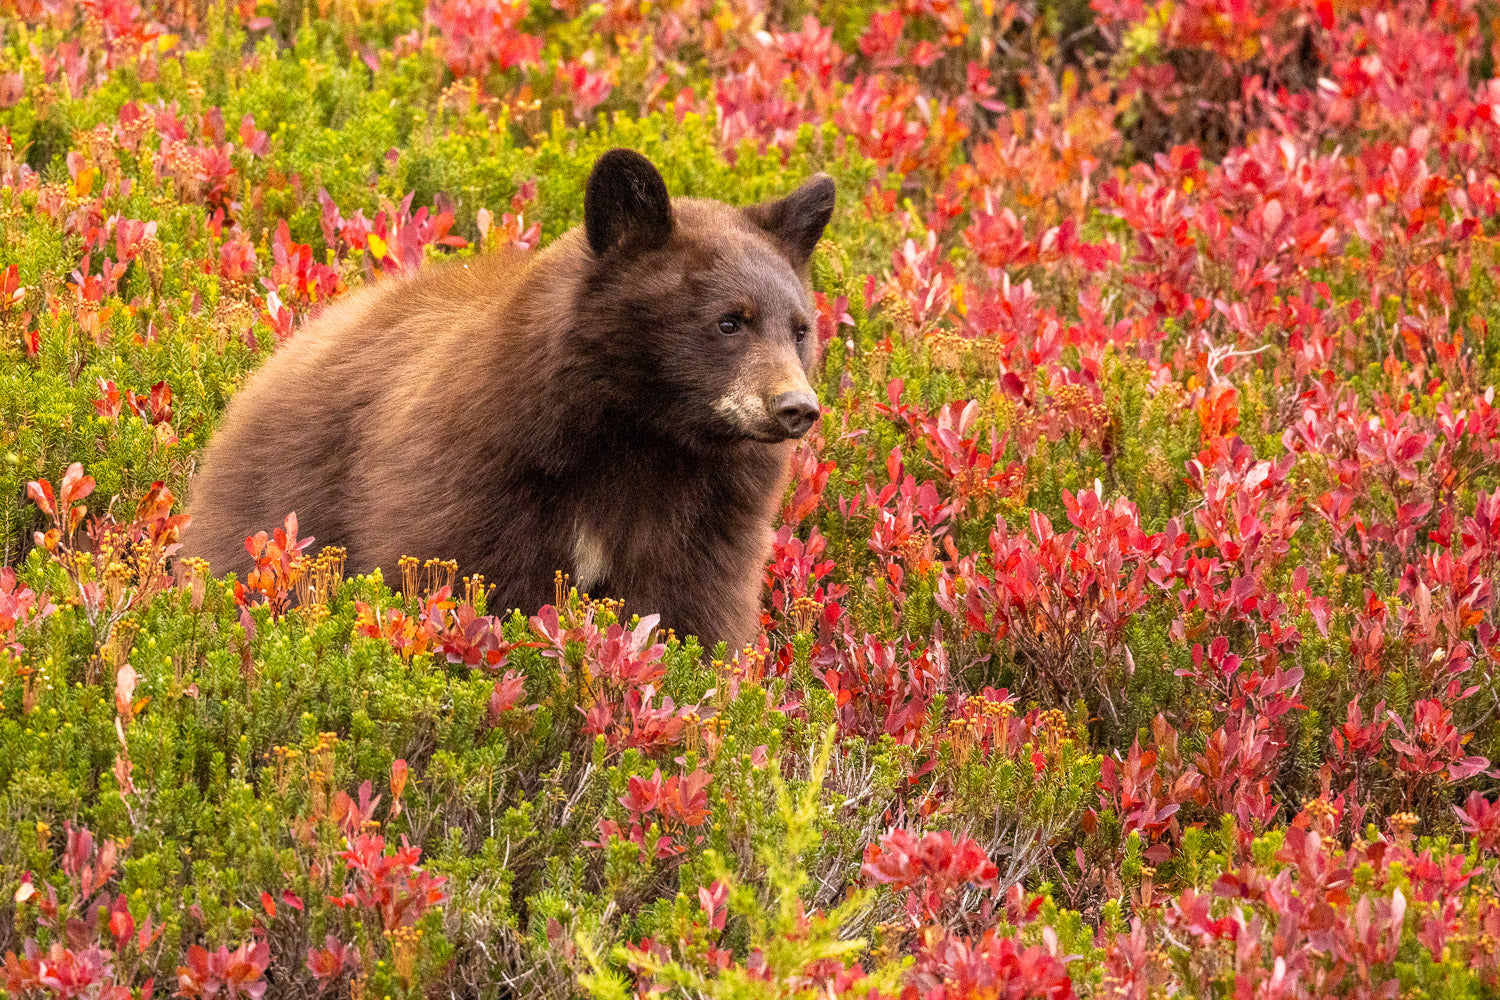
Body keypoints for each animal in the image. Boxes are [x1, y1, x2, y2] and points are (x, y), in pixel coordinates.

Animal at [179, 149, 835, 650]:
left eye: (800, 328)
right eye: (729, 321)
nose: (796, 407)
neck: (640, 439)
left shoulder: (710, 517)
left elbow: (689, 612)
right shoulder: (478, 477)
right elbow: (461, 585)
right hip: (277, 516)